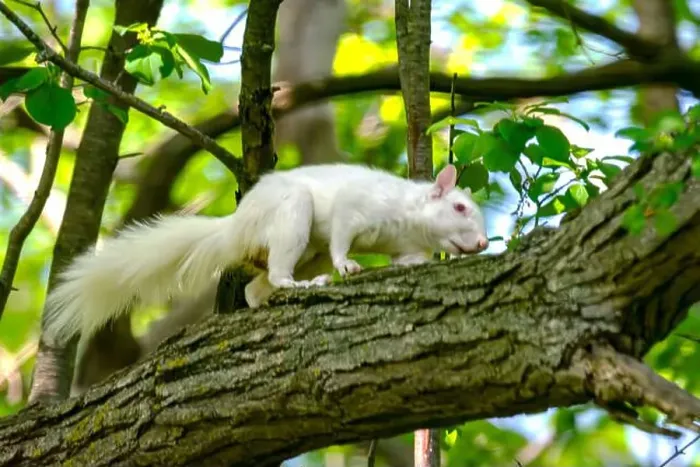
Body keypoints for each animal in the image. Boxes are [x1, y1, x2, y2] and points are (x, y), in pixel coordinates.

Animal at [42, 163, 489, 347]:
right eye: (459, 208)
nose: (484, 243)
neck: (408, 217)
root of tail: (236, 228)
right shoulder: (355, 207)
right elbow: (342, 236)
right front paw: (348, 264)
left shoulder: (404, 246)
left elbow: (408, 261)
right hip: (294, 218)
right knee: (276, 274)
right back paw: (301, 284)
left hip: (307, 250)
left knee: (255, 290)